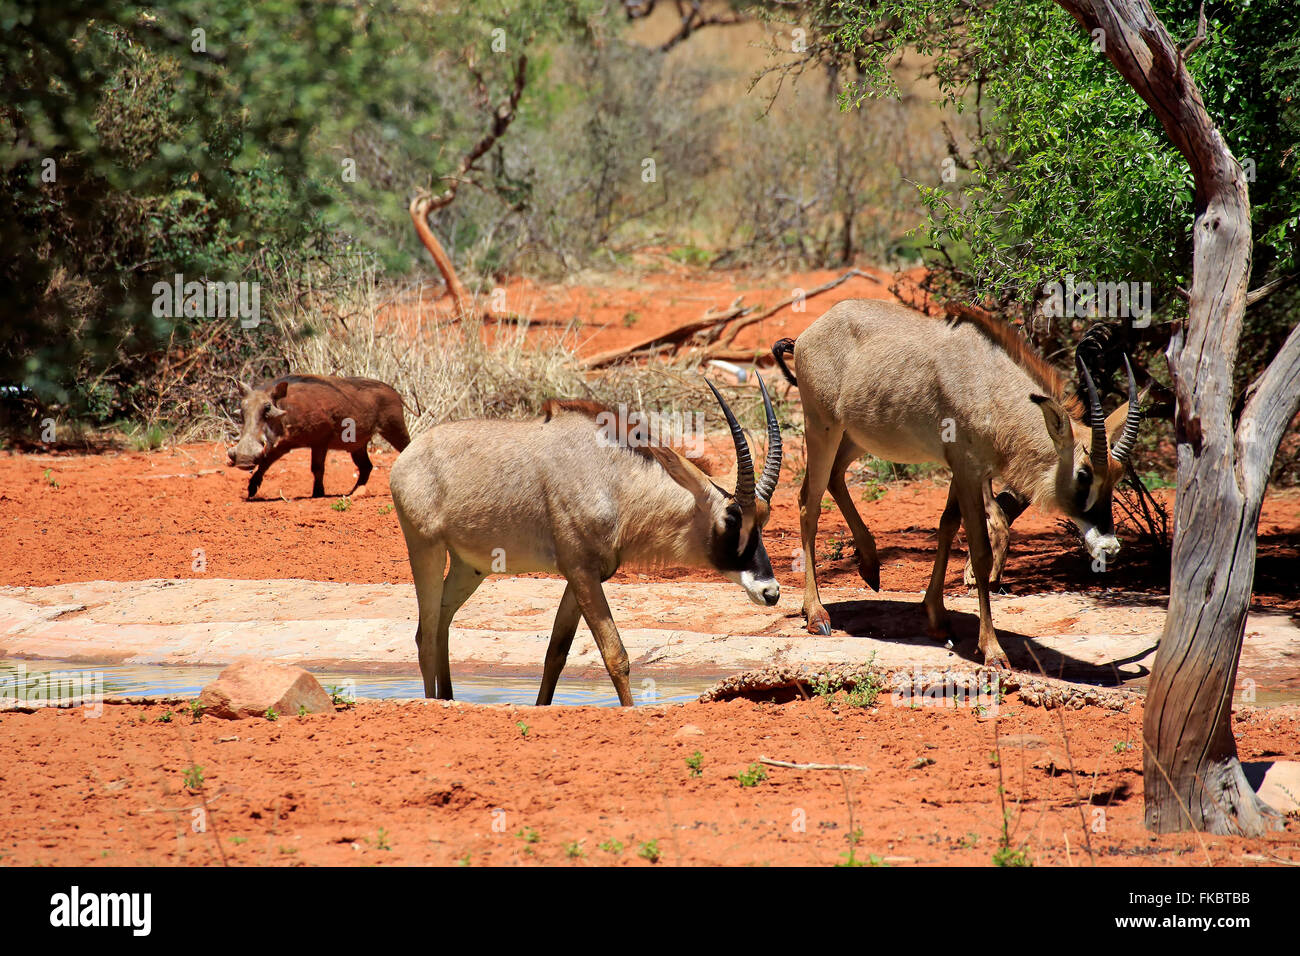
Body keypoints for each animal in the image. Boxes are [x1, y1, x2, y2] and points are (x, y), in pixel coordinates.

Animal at [387, 379, 780, 702]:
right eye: (731, 520)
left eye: (763, 520)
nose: (771, 592)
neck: (614, 480)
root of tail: (408, 456)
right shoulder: (580, 571)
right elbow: (615, 654)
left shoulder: (585, 576)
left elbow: (556, 653)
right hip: (426, 548)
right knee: (426, 634)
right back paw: (433, 703)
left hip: (469, 568)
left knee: (441, 623)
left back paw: (448, 697)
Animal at [774, 303, 1144, 671]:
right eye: (1083, 474)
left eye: (1117, 477)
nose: (1110, 547)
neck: (988, 384)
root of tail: (809, 334)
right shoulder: (968, 470)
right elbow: (979, 553)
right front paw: (993, 649)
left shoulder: (963, 470)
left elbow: (948, 525)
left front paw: (936, 616)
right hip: (823, 426)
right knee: (808, 502)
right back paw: (817, 614)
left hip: (856, 435)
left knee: (834, 476)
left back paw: (869, 566)